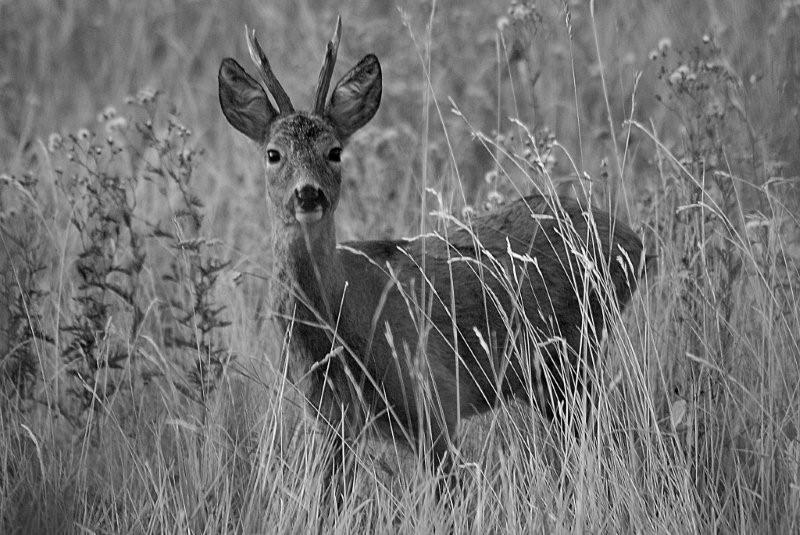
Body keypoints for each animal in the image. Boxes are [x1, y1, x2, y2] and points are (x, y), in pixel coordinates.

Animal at [217, 19, 648, 498]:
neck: (341, 322)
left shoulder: (431, 399)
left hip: (571, 357)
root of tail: (633, 240)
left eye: (335, 151)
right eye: (273, 154)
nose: (308, 193)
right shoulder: (332, 419)